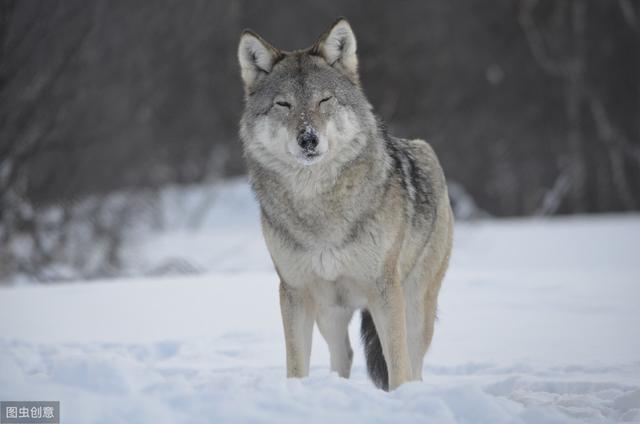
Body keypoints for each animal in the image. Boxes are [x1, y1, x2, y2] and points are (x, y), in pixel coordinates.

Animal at [238, 19, 452, 390]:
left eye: (324, 100)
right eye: (284, 104)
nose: (308, 139)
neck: (319, 209)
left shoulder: (385, 291)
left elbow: (398, 366)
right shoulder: (295, 292)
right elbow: (296, 366)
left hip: (414, 304)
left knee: (413, 362)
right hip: (330, 312)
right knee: (345, 355)